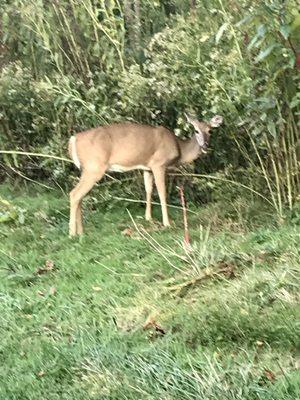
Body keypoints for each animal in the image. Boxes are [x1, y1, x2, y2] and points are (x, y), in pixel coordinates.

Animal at [68, 114, 223, 236]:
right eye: (196, 130)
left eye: (210, 130)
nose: (205, 146)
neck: (179, 148)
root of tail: (73, 139)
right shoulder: (158, 164)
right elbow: (162, 192)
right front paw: (167, 223)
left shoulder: (147, 168)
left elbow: (148, 189)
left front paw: (148, 217)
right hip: (94, 167)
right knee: (74, 194)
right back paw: (72, 234)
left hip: (86, 168)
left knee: (79, 196)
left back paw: (81, 232)